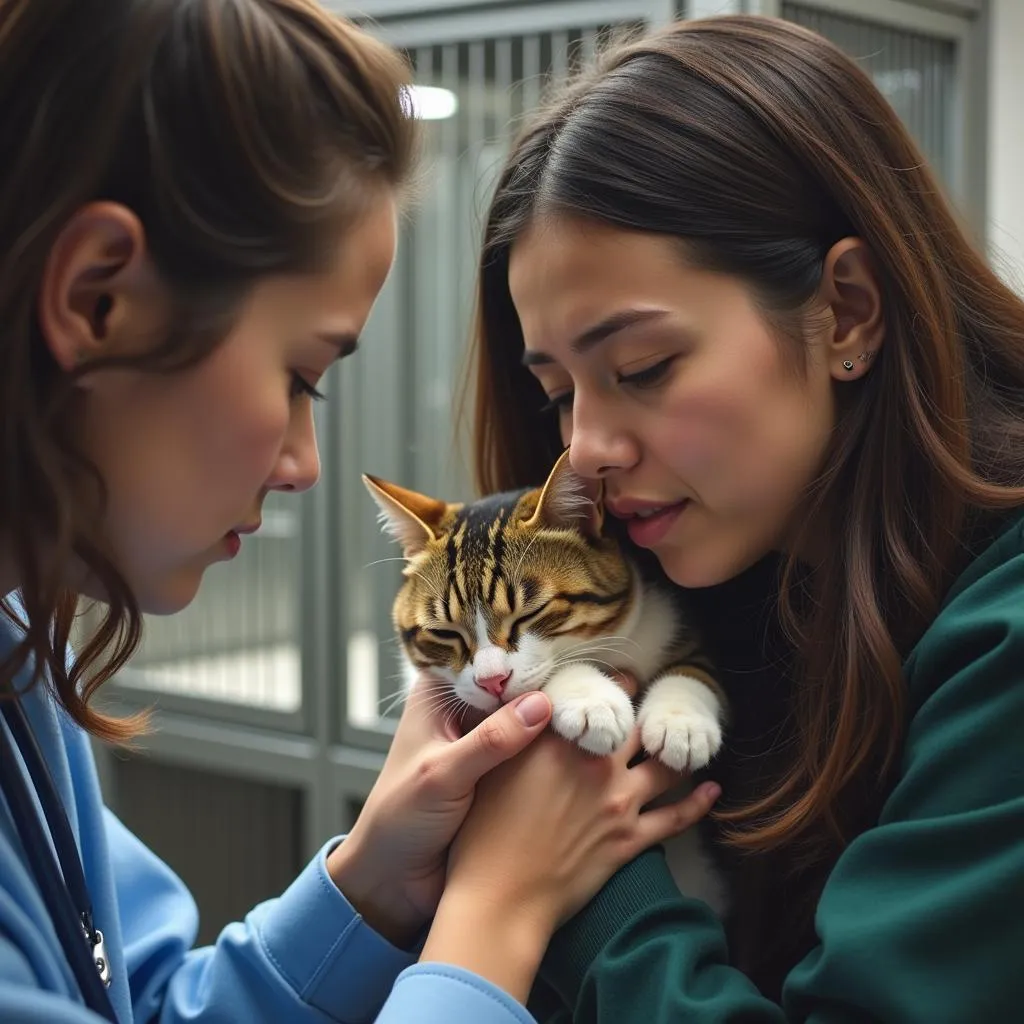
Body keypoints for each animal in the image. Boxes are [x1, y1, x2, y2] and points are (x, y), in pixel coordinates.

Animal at [364, 452, 733, 909]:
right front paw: (591, 699)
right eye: (445, 633)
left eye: (531, 612)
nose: (492, 680)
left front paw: (682, 723)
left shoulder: (667, 622)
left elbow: (695, 665)